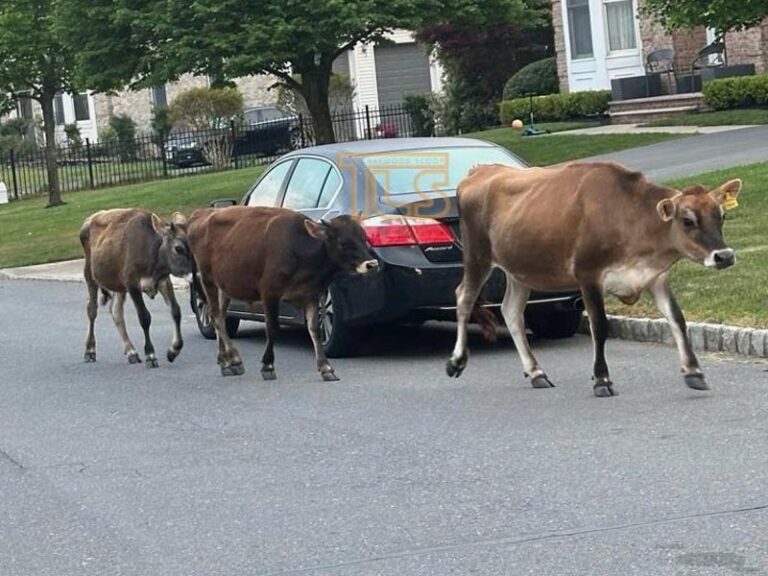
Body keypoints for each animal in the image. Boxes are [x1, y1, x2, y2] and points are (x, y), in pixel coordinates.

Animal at [80, 209, 194, 367]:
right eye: (178, 248)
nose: (195, 274)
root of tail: (91, 218)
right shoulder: (132, 284)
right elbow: (144, 317)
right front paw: (150, 355)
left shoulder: (164, 281)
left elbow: (176, 311)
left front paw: (174, 350)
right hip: (90, 276)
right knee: (92, 310)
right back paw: (90, 350)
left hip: (119, 285)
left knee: (116, 311)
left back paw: (131, 352)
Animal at [188, 207, 379, 381]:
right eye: (342, 242)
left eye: (364, 238)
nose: (372, 264)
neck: (300, 252)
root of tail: (200, 214)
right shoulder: (269, 292)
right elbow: (272, 327)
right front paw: (268, 365)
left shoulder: (311, 294)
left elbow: (314, 329)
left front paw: (326, 367)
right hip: (207, 279)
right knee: (215, 316)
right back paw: (234, 359)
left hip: (225, 286)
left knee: (219, 315)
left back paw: (226, 361)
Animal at [446, 161, 742, 397]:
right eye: (687, 220)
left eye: (722, 215)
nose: (724, 256)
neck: (631, 218)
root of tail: (482, 170)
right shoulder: (588, 274)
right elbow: (599, 326)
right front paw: (602, 379)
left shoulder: (655, 276)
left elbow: (677, 320)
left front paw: (694, 373)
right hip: (478, 256)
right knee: (464, 298)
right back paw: (456, 361)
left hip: (519, 269)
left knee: (511, 311)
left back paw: (536, 373)